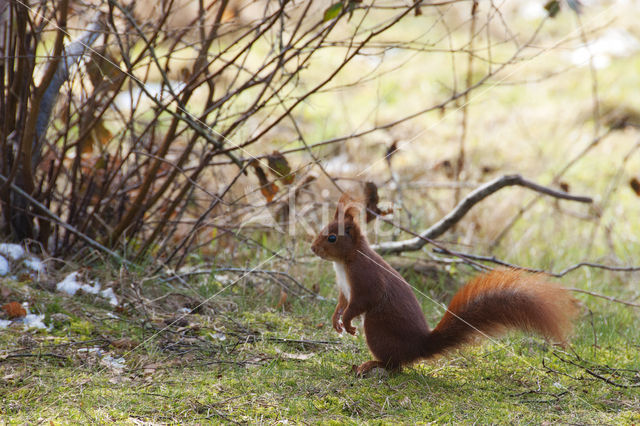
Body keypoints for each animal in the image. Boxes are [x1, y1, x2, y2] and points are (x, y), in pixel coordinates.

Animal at [310, 195, 580, 374]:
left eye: (332, 238)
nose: (312, 249)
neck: (346, 261)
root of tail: (419, 346)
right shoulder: (345, 289)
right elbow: (342, 303)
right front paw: (336, 320)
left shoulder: (366, 280)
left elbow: (361, 302)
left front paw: (348, 323)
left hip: (377, 328)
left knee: (395, 364)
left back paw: (372, 364)